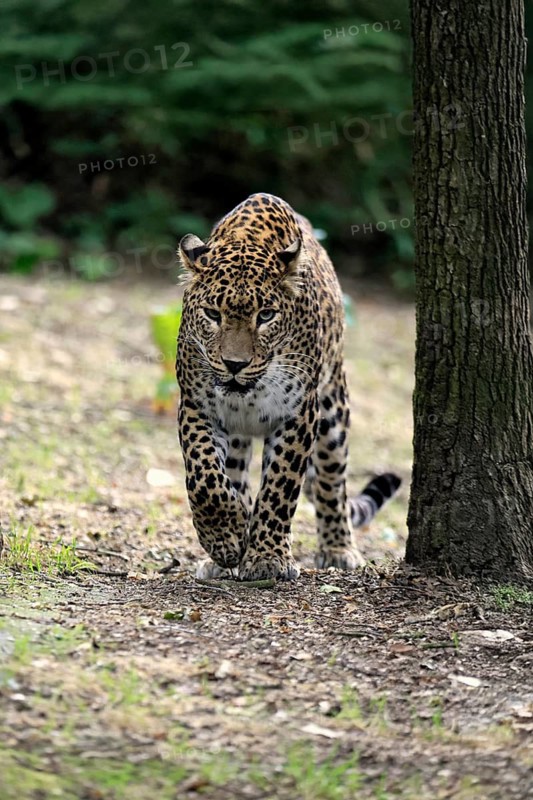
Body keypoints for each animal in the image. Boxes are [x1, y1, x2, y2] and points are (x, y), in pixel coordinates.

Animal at [176, 193, 401, 581]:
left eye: (266, 316)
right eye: (212, 315)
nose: (235, 365)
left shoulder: (297, 414)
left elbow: (280, 486)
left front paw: (268, 558)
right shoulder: (195, 405)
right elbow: (204, 477)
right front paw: (226, 537)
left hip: (333, 411)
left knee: (331, 481)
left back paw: (339, 549)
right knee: (235, 473)